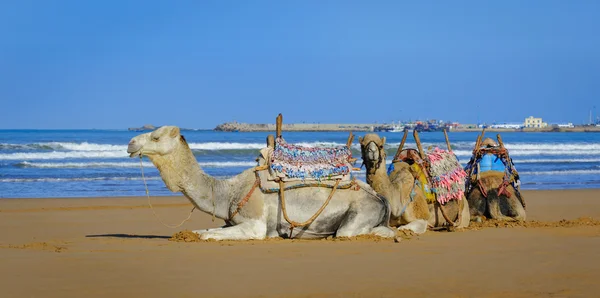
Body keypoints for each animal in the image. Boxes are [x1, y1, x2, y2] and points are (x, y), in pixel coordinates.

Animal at [127, 127, 394, 241]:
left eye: (156, 136)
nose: (130, 143)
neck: (228, 191)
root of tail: (380, 197)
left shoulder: (255, 223)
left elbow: (208, 236)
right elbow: (204, 231)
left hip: (361, 213)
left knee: (356, 232)